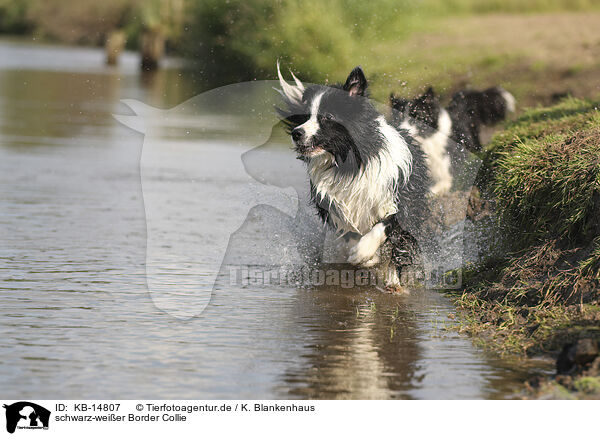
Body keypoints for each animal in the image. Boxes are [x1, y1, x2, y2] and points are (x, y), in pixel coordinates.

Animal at [276, 63, 432, 292]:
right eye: (305, 116)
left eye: (328, 116)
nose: (296, 133)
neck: (348, 165)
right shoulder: (337, 205)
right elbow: (349, 232)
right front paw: (365, 257)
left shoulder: (399, 200)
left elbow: (385, 225)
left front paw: (363, 253)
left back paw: (392, 281)